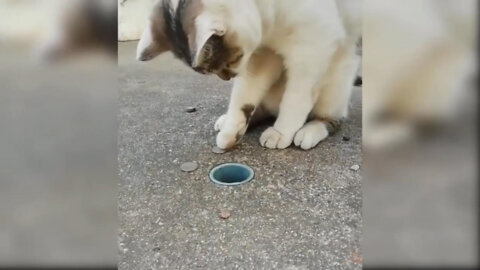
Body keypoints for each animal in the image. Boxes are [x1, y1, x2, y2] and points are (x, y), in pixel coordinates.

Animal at [135, 0, 360, 150]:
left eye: (229, 61)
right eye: (210, 71)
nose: (226, 78)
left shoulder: (313, 48)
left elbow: (296, 98)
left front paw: (281, 132)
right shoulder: (261, 55)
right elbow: (245, 96)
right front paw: (232, 130)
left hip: (338, 82)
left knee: (332, 118)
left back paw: (310, 130)